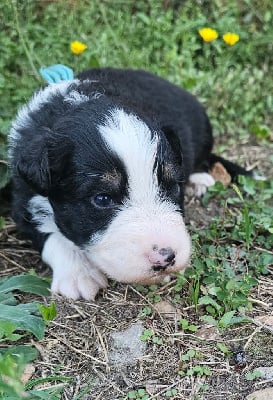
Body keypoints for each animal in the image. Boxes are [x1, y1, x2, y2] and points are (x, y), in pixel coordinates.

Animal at [8, 69, 251, 300]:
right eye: (102, 199)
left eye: (173, 186)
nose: (166, 258)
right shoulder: (22, 197)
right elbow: (49, 234)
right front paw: (79, 274)